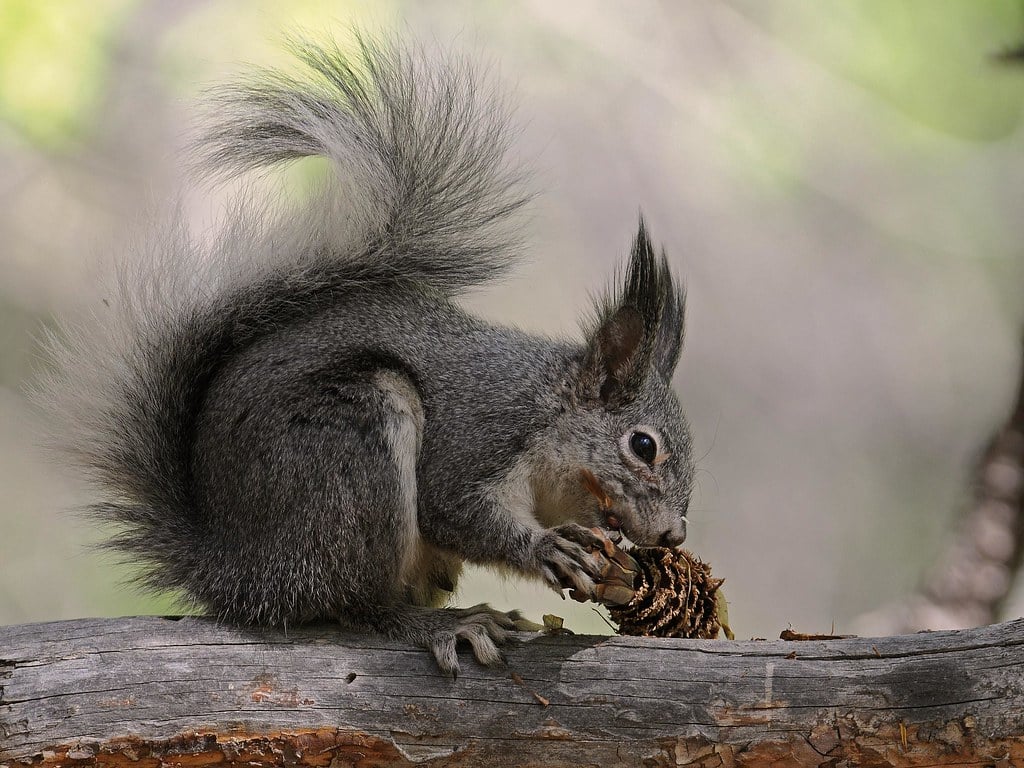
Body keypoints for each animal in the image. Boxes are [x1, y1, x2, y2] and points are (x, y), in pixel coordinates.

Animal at [40, 34, 695, 675]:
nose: (673, 534)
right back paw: (441, 624)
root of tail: (239, 569)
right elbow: (452, 508)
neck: (545, 415)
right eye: (643, 446)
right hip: (352, 452)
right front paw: (547, 548)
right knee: (355, 606)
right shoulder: (479, 433)